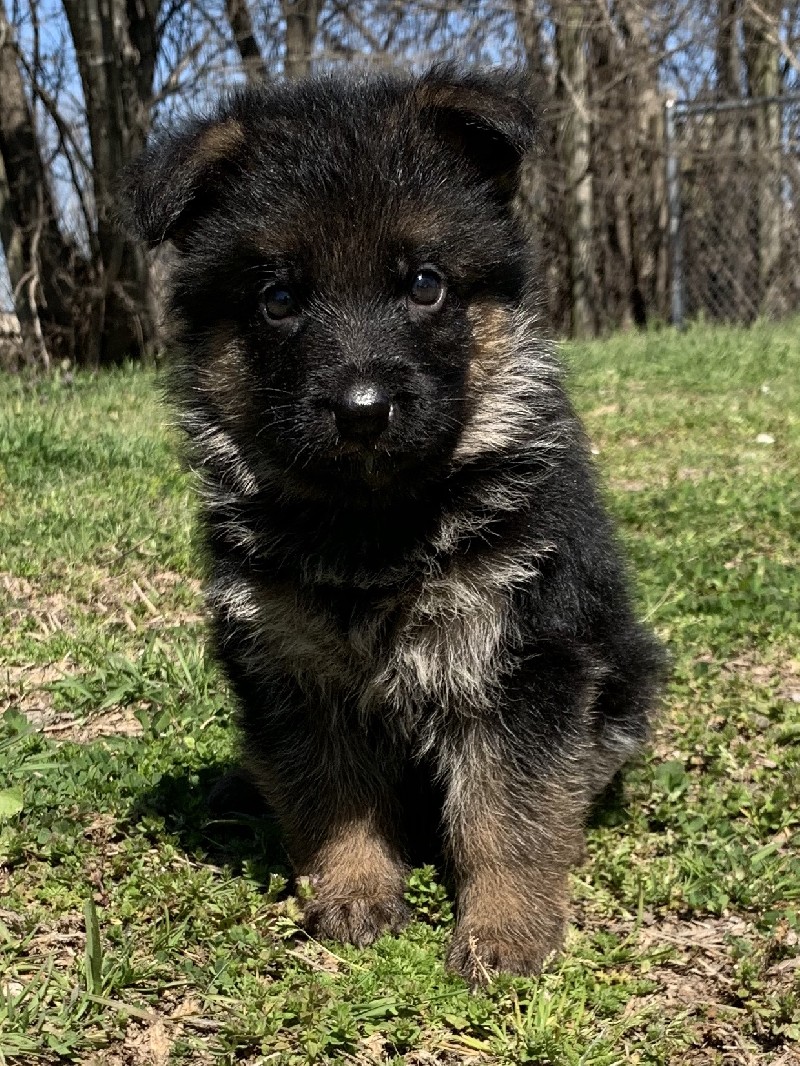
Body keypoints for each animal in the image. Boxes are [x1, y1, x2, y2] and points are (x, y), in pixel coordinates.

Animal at [122, 66, 665, 980]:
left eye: (424, 284)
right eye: (278, 298)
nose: (362, 409)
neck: (374, 525)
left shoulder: (527, 658)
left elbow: (509, 812)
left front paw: (505, 931)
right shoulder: (294, 669)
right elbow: (334, 797)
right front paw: (352, 892)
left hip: (627, 671)